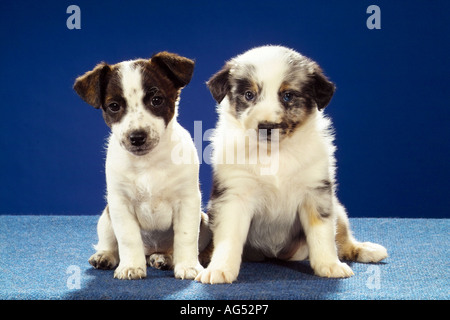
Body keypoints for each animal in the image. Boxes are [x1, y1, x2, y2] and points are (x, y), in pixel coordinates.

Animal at [73, 51, 209, 278]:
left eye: (156, 100)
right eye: (114, 106)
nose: (137, 137)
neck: (148, 162)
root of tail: (151, 251)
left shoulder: (188, 201)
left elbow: (186, 236)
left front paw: (188, 265)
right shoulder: (120, 204)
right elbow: (128, 238)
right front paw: (131, 266)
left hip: (205, 221)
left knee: (171, 249)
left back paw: (164, 258)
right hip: (106, 217)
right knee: (109, 242)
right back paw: (105, 256)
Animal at [195, 44, 388, 282]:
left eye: (288, 96)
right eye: (249, 95)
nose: (266, 126)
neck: (274, 153)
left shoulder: (316, 193)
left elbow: (322, 234)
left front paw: (329, 265)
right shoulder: (234, 195)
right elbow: (228, 238)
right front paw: (220, 269)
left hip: (338, 209)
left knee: (342, 239)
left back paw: (367, 250)